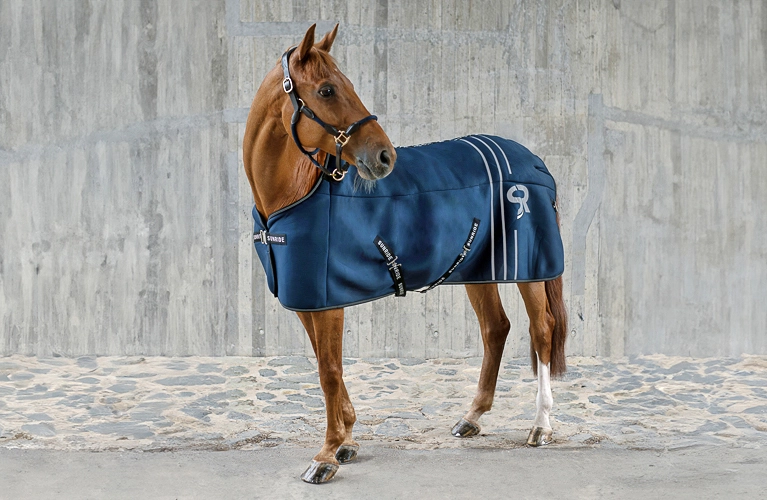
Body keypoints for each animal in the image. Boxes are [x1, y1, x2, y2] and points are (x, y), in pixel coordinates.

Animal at [242, 24, 568, 484]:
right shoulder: (309, 299)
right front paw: (347, 442)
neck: (294, 192)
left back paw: (541, 426)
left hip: (530, 270)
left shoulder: (326, 301)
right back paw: (472, 417)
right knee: (496, 328)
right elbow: (328, 366)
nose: (385, 156)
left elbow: (329, 371)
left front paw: (326, 455)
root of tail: (534, 161)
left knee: (541, 331)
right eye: (326, 90)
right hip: (478, 269)